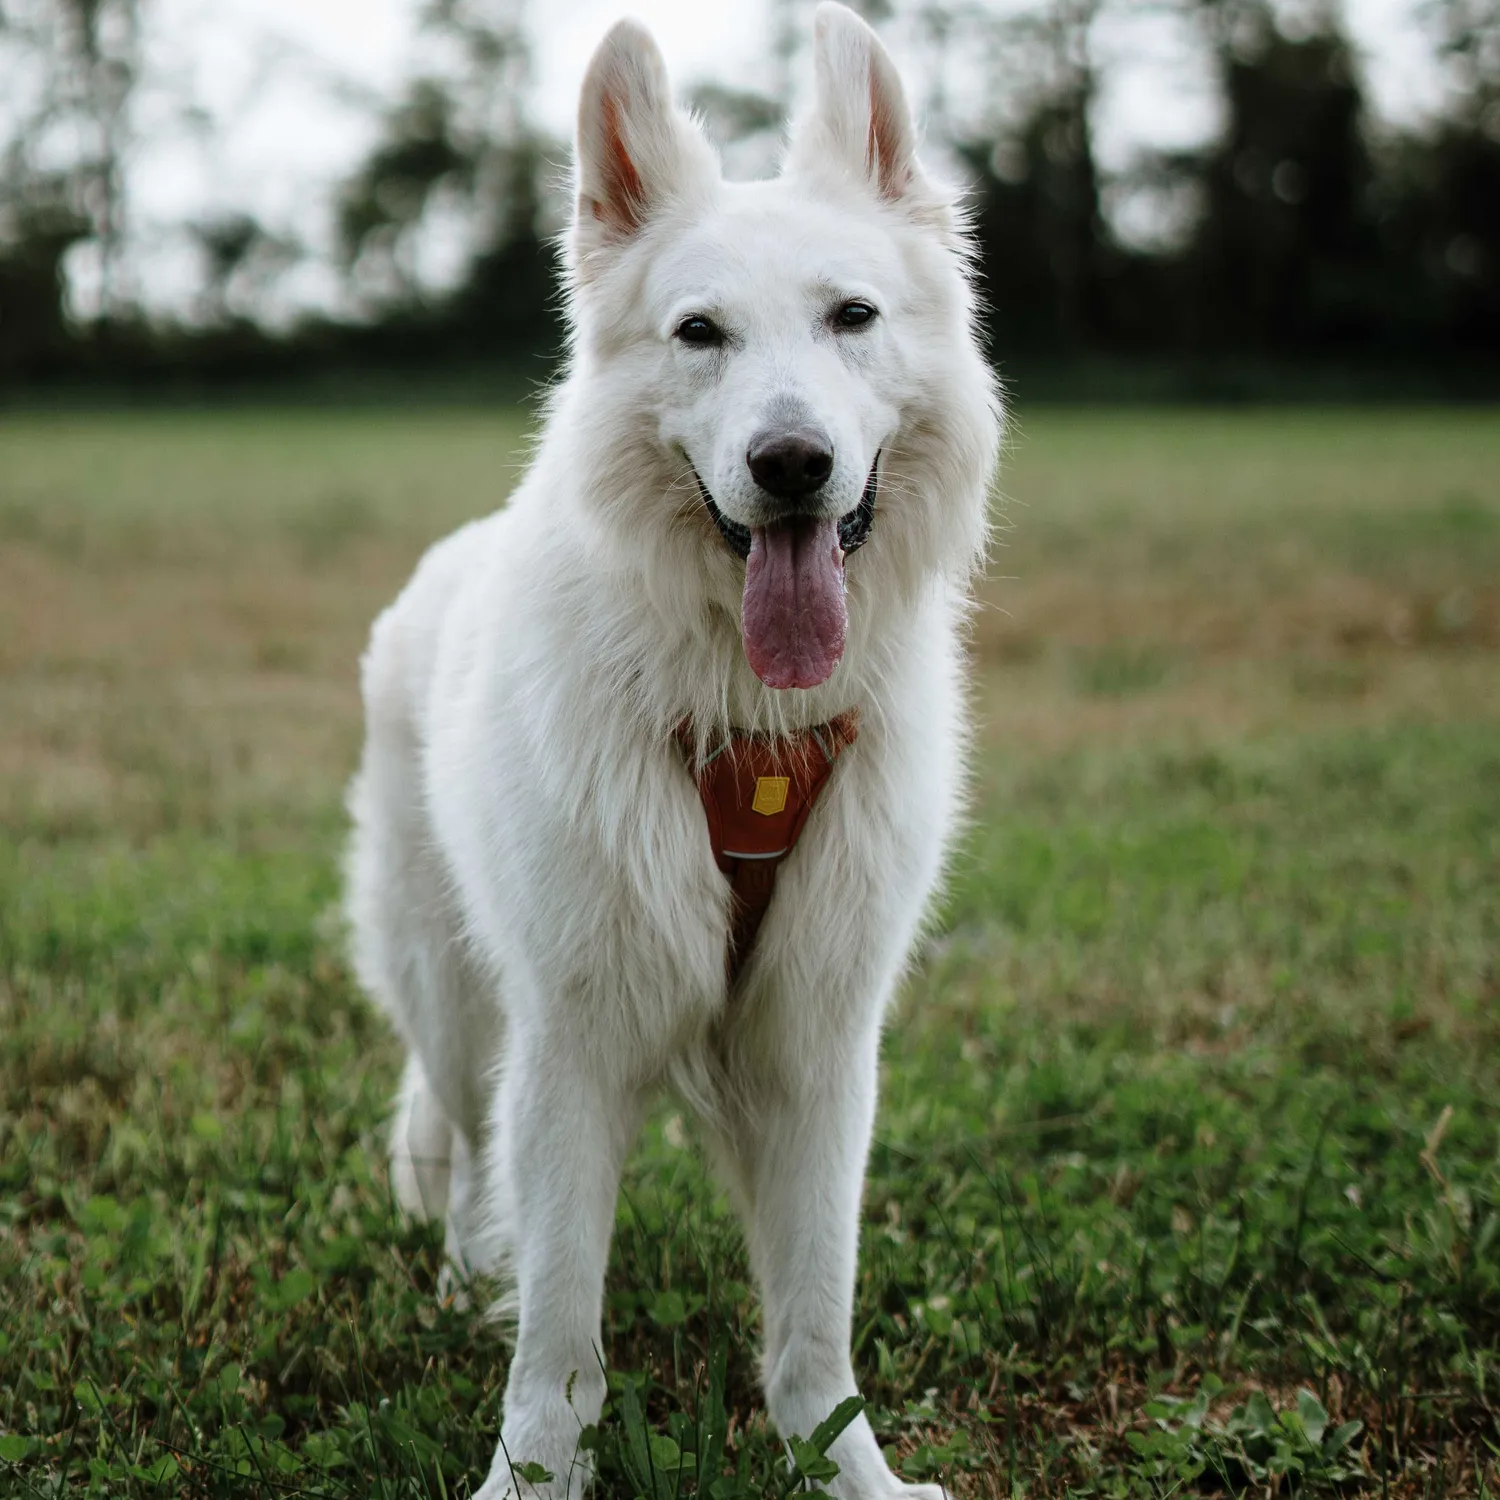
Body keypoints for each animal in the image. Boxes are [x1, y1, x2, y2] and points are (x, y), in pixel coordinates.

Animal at [343, 5, 1002, 1496]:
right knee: (465, 1165)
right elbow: (558, 1341)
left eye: (852, 317)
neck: (746, 722)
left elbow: (813, 1325)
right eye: (700, 333)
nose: (792, 463)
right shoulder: (569, 1043)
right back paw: (467, 1283)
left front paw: (848, 1473)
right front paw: (529, 1476)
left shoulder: (821, 1047)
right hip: (455, 1001)